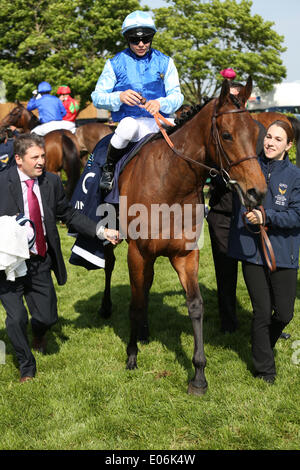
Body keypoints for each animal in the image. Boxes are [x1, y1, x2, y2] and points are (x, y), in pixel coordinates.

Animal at [101, 76, 268, 392]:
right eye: (226, 135)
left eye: (255, 133)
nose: (257, 192)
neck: (170, 182)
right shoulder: (137, 253)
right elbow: (134, 302)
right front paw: (131, 356)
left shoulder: (186, 254)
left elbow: (195, 305)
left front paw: (199, 374)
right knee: (109, 267)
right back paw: (107, 308)